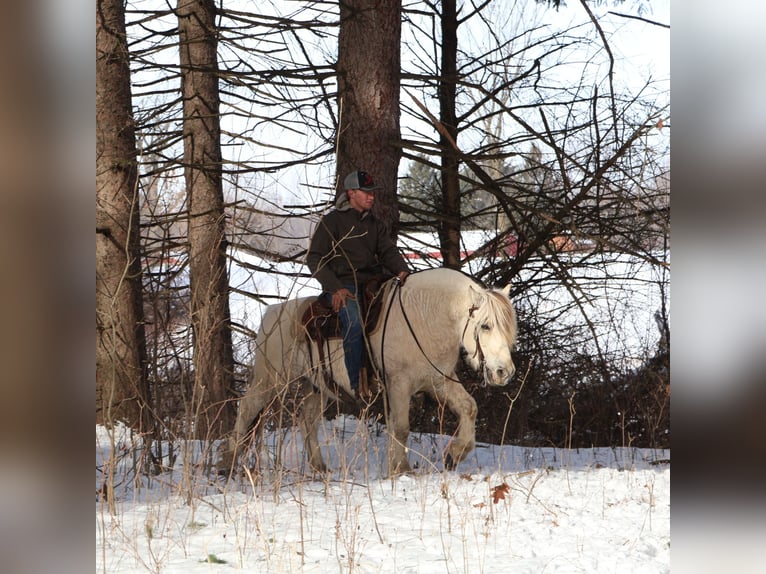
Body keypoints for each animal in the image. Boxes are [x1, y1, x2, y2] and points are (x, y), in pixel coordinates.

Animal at [218, 267, 518, 477]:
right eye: (486, 325)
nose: (504, 371)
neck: (426, 318)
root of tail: (272, 314)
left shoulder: (439, 380)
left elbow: (469, 408)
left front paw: (454, 454)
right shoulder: (399, 384)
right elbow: (401, 428)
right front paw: (400, 469)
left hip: (317, 388)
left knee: (307, 421)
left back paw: (319, 467)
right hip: (270, 379)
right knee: (247, 408)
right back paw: (228, 461)